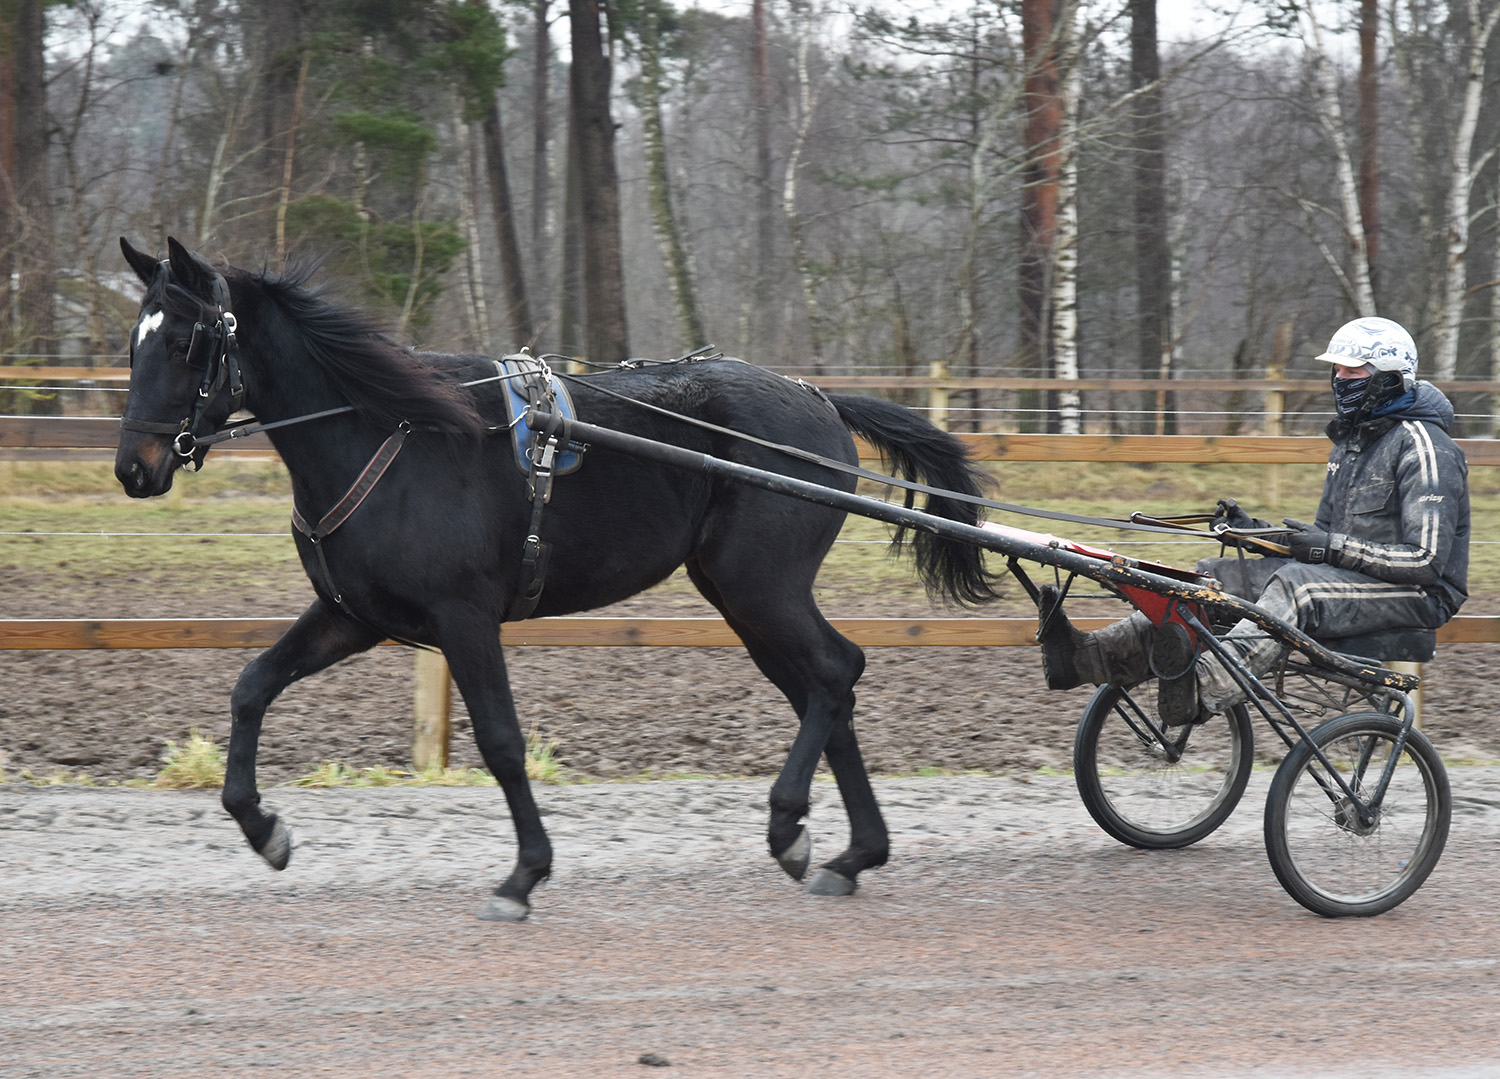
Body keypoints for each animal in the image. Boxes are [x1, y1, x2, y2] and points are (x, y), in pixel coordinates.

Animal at [117, 240, 996, 924]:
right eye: (134, 342)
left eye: (187, 342)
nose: (135, 466)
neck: (391, 432)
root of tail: (817, 400)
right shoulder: (353, 615)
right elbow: (251, 685)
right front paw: (262, 827)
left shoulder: (464, 616)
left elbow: (503, 743)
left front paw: (523, 874)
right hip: (741, 595)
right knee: (824, 686)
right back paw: (853, 854)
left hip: (761, 587)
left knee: (833, 673)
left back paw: (790, 827)